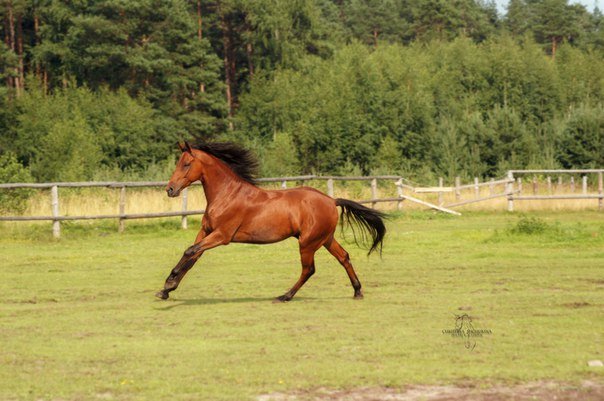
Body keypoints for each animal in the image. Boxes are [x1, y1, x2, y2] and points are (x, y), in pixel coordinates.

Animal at [155, 141, 382, 300]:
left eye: (186, 164)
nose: (170, 189)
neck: (226, 195)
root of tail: (331, 200)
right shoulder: (206, 231)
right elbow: (193, 256)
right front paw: (166, 289)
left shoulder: (222, 235)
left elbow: (190, 252)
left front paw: (169, 282)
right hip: (325, 239)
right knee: (344, 257)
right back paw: (357, 291)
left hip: (308, 243)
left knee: (309, 269)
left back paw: (285, 296)